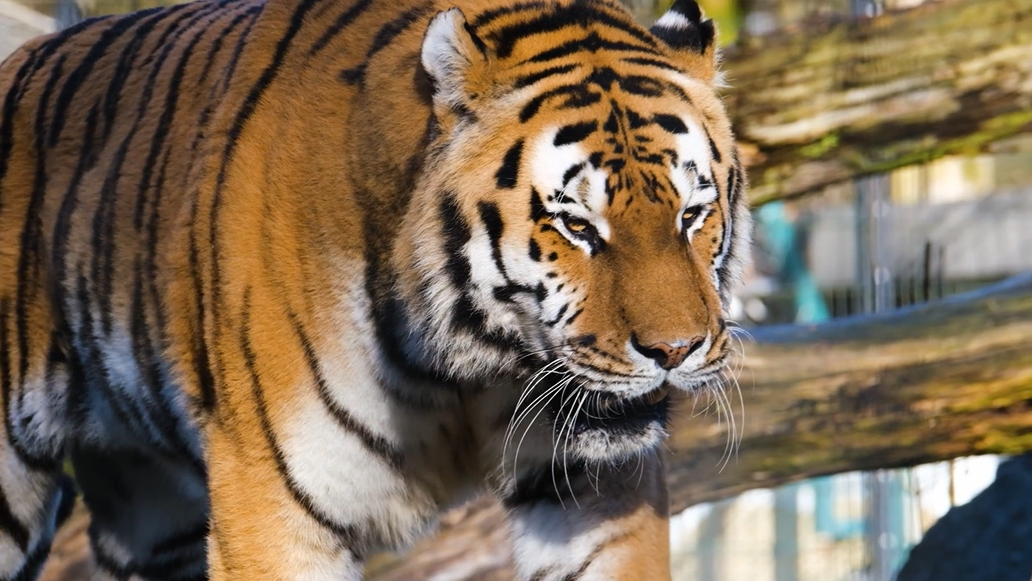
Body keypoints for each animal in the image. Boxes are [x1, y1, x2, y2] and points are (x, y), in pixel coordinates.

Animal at [0, 0, 750, 578]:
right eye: (577, 225)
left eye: (691, 214)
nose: (675, 350)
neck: (472, 367)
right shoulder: (272, 507)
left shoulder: (593, 493)